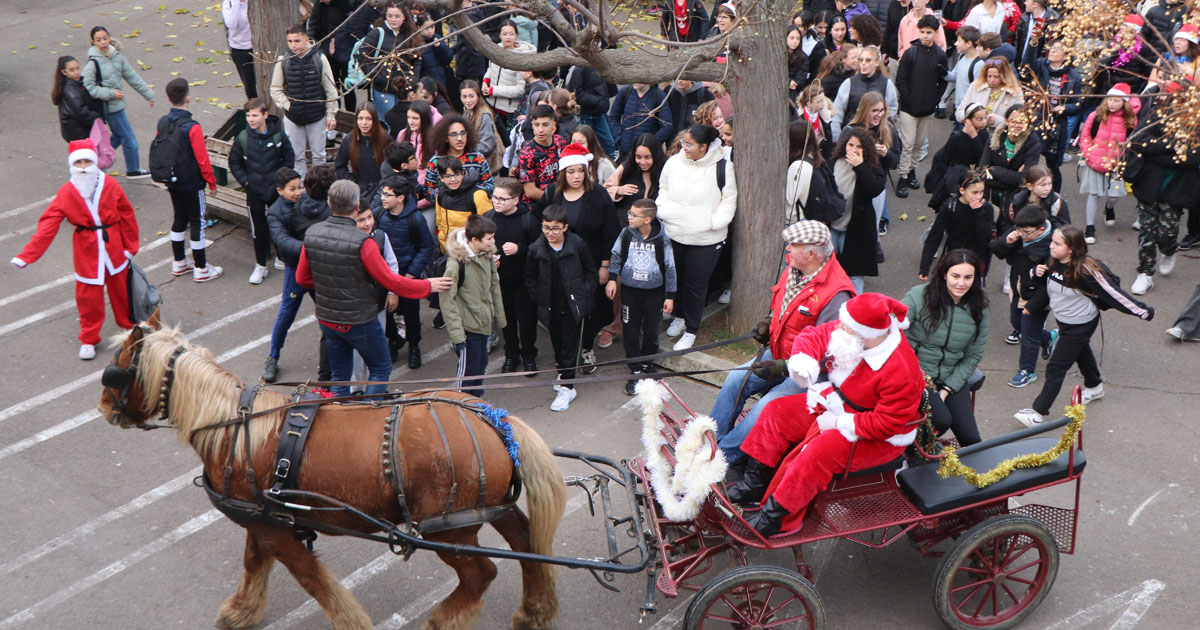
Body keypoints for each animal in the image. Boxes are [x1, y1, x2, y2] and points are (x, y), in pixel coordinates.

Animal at [97, 314, 566, 628]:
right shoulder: (263, 520)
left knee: (480, 574)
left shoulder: (275, 530)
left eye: (116, 370)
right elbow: (253, 563)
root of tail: (495, 418)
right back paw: (534, 610)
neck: (233, 425)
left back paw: (444, 620)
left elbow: (313, 580)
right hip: (487, 510)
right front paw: (240, 610)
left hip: (448, 530)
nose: (103, 408)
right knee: (526, 540)